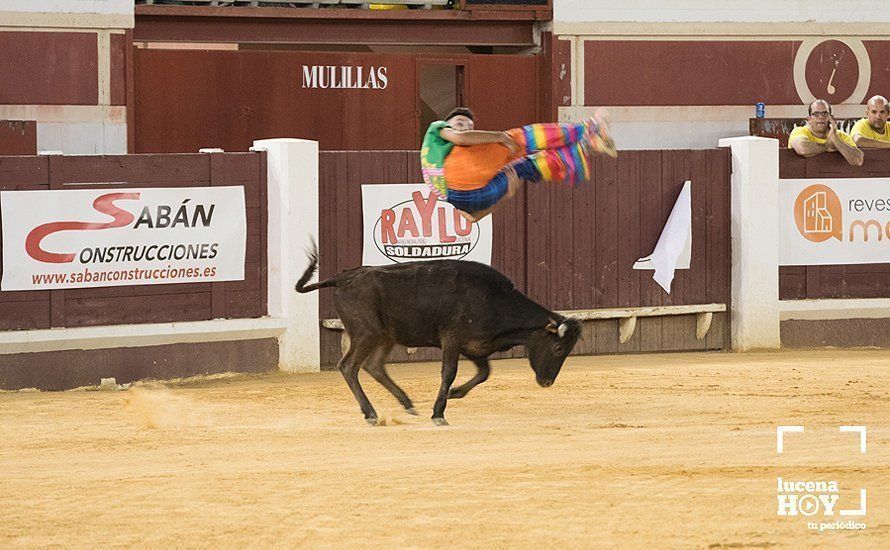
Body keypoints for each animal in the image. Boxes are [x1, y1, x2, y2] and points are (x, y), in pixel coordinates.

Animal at [294, 249, 580, 426]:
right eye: (557, 348)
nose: (546, 382)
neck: (493, 299)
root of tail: (343, 277)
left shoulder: (474, 346)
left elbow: (484, 373)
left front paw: (453, 394)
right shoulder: (452, 340)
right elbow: (449, 372)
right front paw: (439, 413)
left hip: (385, 336)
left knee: (374, 366)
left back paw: (407, 404)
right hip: (366, 333)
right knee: (348, 366)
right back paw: (371, 413)